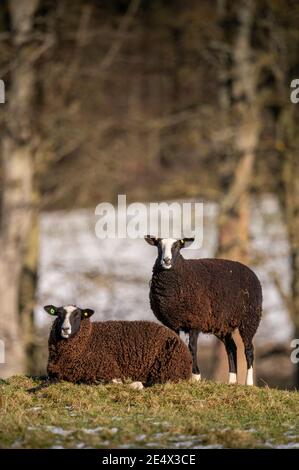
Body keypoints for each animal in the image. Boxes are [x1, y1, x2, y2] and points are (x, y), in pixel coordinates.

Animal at [42, 306, 192, 388]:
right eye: (58, 314)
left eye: (77, 315)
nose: (65, 329)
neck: (89, 338)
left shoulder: (107, 369)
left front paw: (132, 384)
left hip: (168, 370)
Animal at [146, 235, 264, 386]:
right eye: (158, 246)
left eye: (177, 246)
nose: (166, 260)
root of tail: (250, 270)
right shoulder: (173, 323)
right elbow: (175, 345)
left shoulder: (195, 322)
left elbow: (192, 347)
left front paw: (196, 376)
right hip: (222, 325)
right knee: (231, 348)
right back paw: (232, 381)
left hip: (250, 319)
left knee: (249, 349)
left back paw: (248, 383)